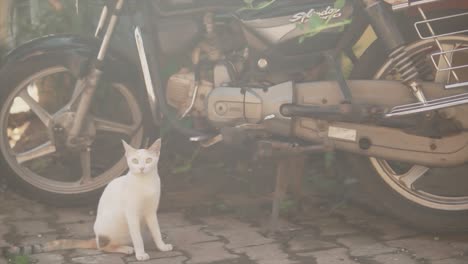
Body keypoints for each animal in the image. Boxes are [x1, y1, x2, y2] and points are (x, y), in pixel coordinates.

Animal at [4, 139, 172, 260]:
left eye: (149, 160)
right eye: (135, 161)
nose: (142, 168)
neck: (145, 183)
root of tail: (96, 237)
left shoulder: (151, 212)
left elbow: (156, 231)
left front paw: (161, 246)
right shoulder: (131, 214)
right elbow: (137, 238)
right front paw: (140, 253)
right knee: (103, 247)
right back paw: (125, 248)